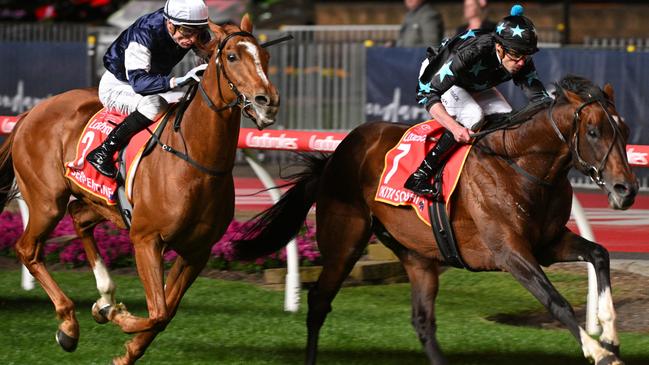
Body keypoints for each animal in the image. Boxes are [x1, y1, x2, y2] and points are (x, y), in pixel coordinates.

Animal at [0, 14, 276, 364]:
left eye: (265, 56)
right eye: (231, 57)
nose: (268, 103)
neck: (197, 161)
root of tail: (29, 113)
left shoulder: (197, 251)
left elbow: (166, 312)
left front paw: (124, 346)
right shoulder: (146, 239)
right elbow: (157, 311)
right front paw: (116, 316)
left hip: (102, 204)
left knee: (78, 216)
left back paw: (104, 294)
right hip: (47, 201)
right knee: (28, 249)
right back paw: (69, 325)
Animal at [234, 74, 636, 364]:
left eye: (625, 130)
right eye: (594, 132)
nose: (626, 189)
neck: (521, 165)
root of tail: (336, 154)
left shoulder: (548, 243)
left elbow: (599, 254)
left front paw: (610, 336)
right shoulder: (510, 252)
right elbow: (556, 301)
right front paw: (599, 351)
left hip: (417, 255)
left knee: (423, 320)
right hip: (345, 241)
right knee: (319, 301)